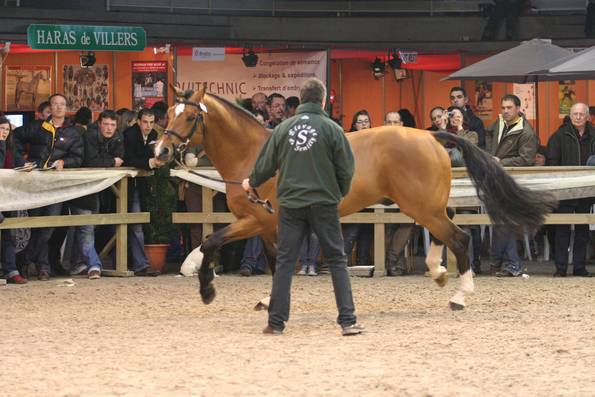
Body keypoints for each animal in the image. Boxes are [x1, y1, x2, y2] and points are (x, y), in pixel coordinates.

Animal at [155, 85, 560, 310]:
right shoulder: (266, 225)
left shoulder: (257, 219)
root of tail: (431, 135)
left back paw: (459, 295)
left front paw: (207, 289)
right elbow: (272, 262)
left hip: (422, 205)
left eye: (189, 117)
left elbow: (211, 241)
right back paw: (439, 272)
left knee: (459, 238)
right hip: (423, 205)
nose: (160, 152)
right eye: (170, 113)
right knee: (443, 235)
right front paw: (267, 300)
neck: (256, 154)